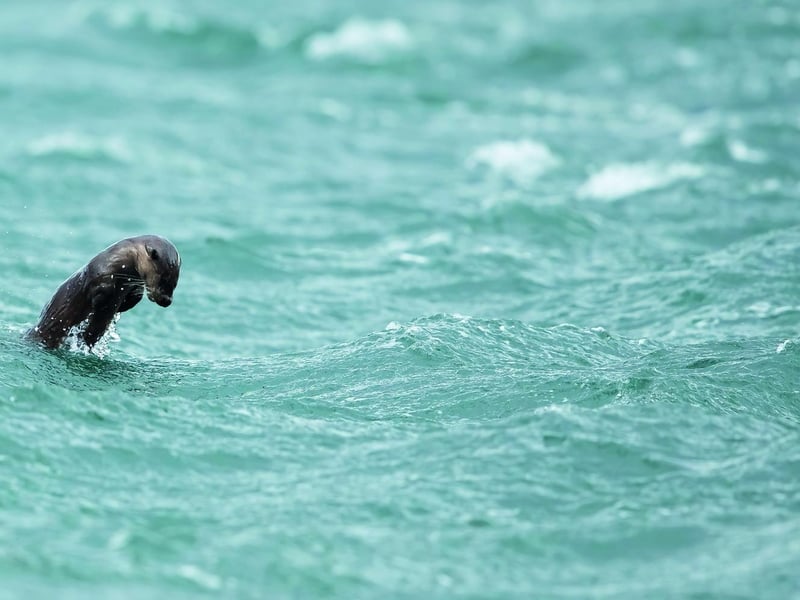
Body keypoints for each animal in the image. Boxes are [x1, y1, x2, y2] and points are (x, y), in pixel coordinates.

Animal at [27, 235, 181, 350]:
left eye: (174, 283)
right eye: (162, 279)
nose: (167, 300)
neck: (119, 262)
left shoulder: (132, 284)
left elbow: (135, 297)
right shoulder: (102, 274)